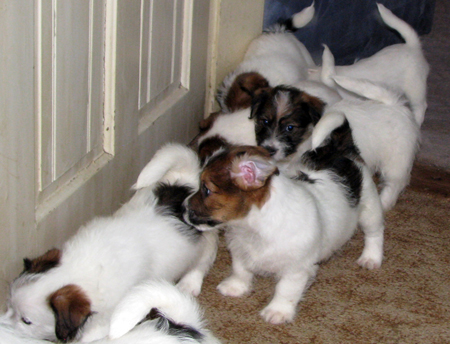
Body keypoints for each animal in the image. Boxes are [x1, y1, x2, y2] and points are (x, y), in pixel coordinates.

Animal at [183, 117, 384, 324]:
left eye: (206, 189)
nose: (184, 205)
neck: (254, 227)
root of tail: (342, 150)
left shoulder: (296, 269)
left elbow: (286, 290)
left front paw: (277, 311)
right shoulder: (240, 250)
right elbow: (240, 270)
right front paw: (235, 287)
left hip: (370, 209)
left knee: (375, 233)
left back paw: (371, 257)